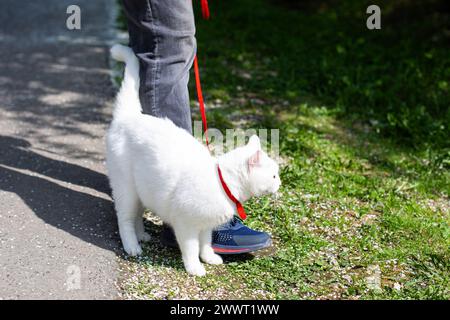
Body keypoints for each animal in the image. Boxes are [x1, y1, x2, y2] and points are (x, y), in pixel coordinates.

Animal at [107, 43, 280, 276]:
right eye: (273, 176)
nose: (280, 183)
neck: (222, 183)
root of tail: (129, 116)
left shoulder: (206, 226)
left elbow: (205, 243)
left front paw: (209, 258)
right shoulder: (186, 226)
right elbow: (191, 249)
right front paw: (195, 268)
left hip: (143, 191)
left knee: (135, 216)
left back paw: (141, 235)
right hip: (127, 189)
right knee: (124, 219)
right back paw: (132, 246)